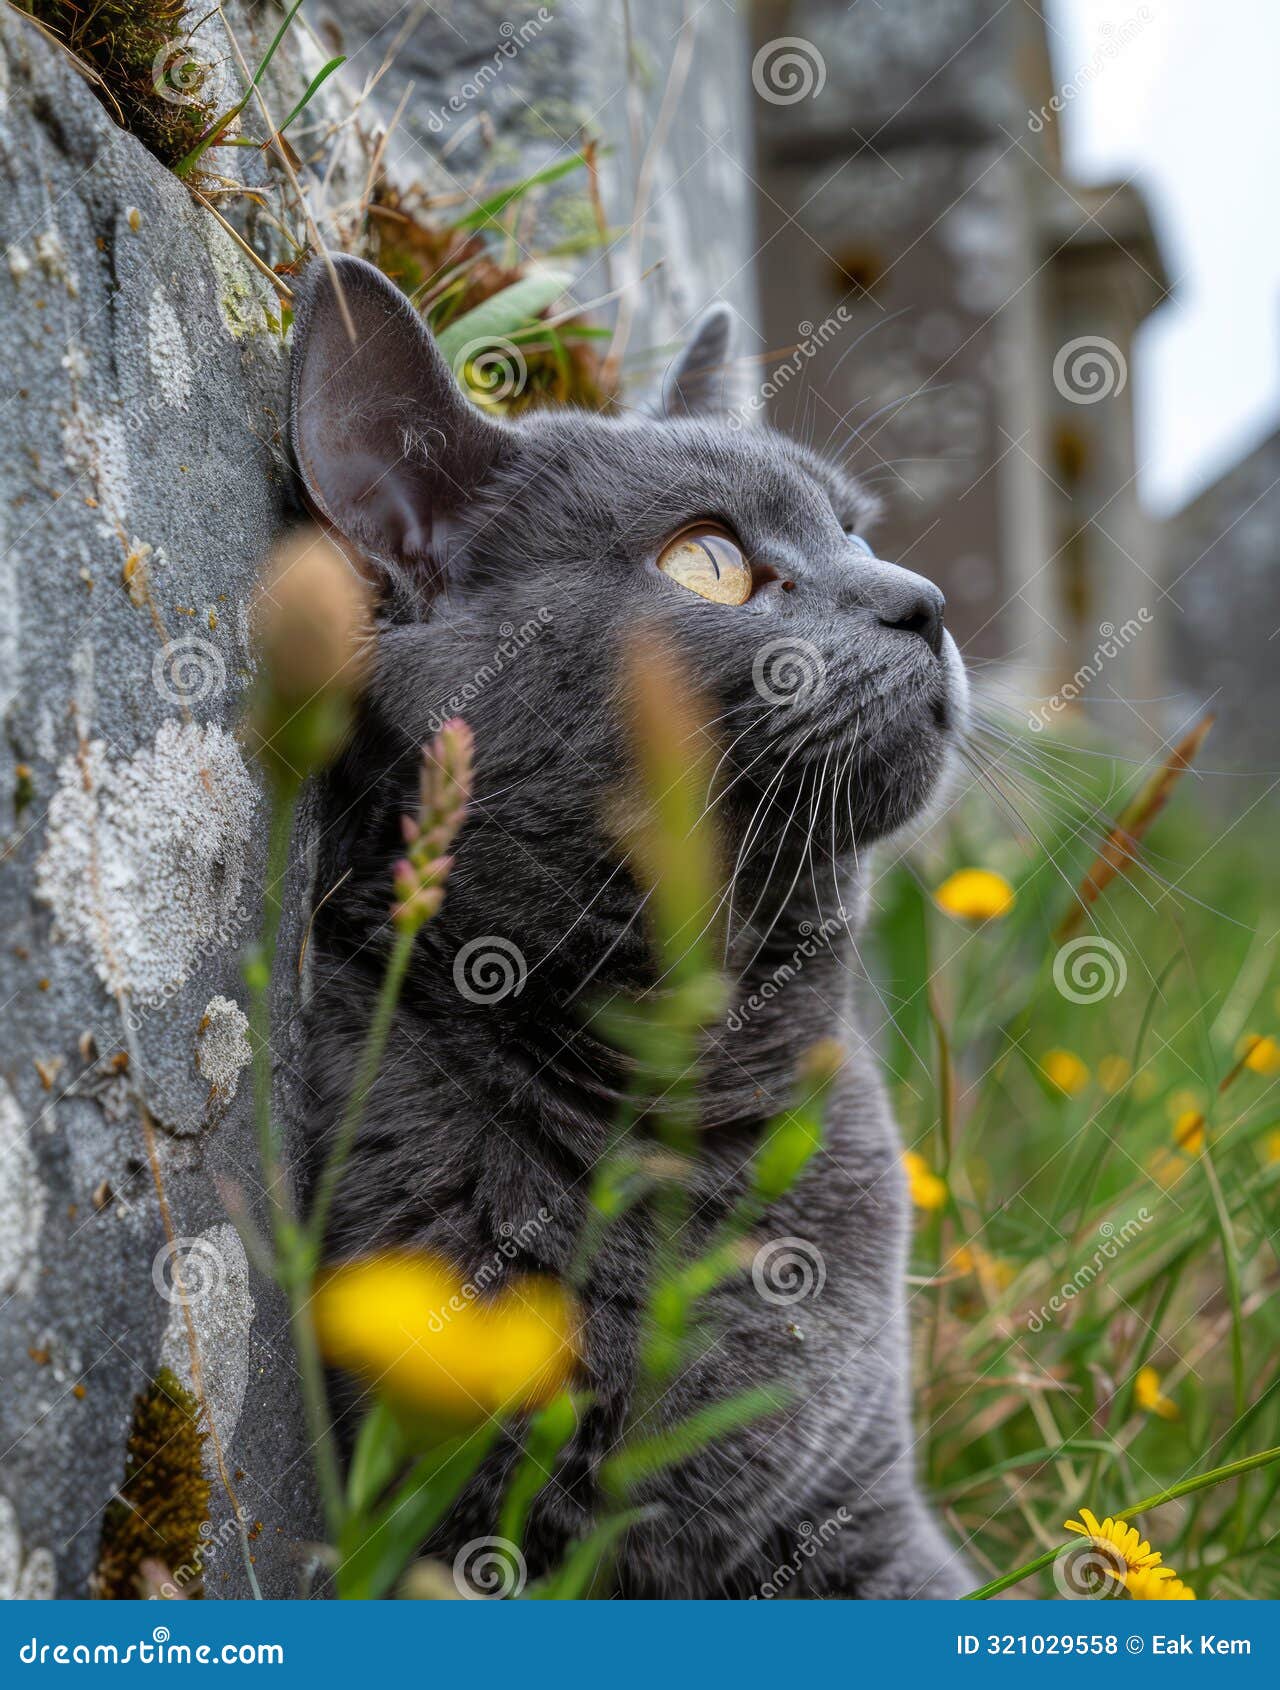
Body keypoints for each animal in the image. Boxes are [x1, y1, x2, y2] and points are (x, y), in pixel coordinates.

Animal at [287, 253, 967, 1595]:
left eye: (854, 528)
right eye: (705, 561)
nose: (920, 598)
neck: (693, 1110)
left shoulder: (864, 1502)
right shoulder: (450, 1518)